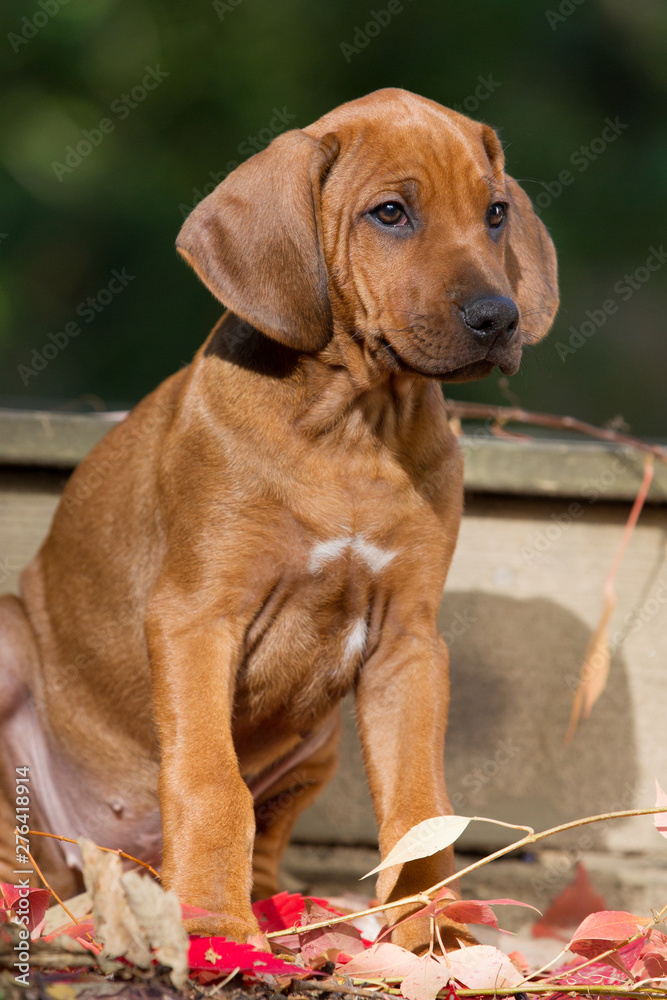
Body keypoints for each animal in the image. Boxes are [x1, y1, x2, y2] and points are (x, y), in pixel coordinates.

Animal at [0, 90, 560, 948]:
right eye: (390, 213)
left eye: (495, 213)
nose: (497, 318)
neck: (353, 427)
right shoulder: (197, 616)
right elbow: (209, 780)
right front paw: (219, 926)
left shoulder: (409, 644)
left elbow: (417, 807)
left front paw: (432, 934)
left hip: (318, 740)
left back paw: (277, 914)